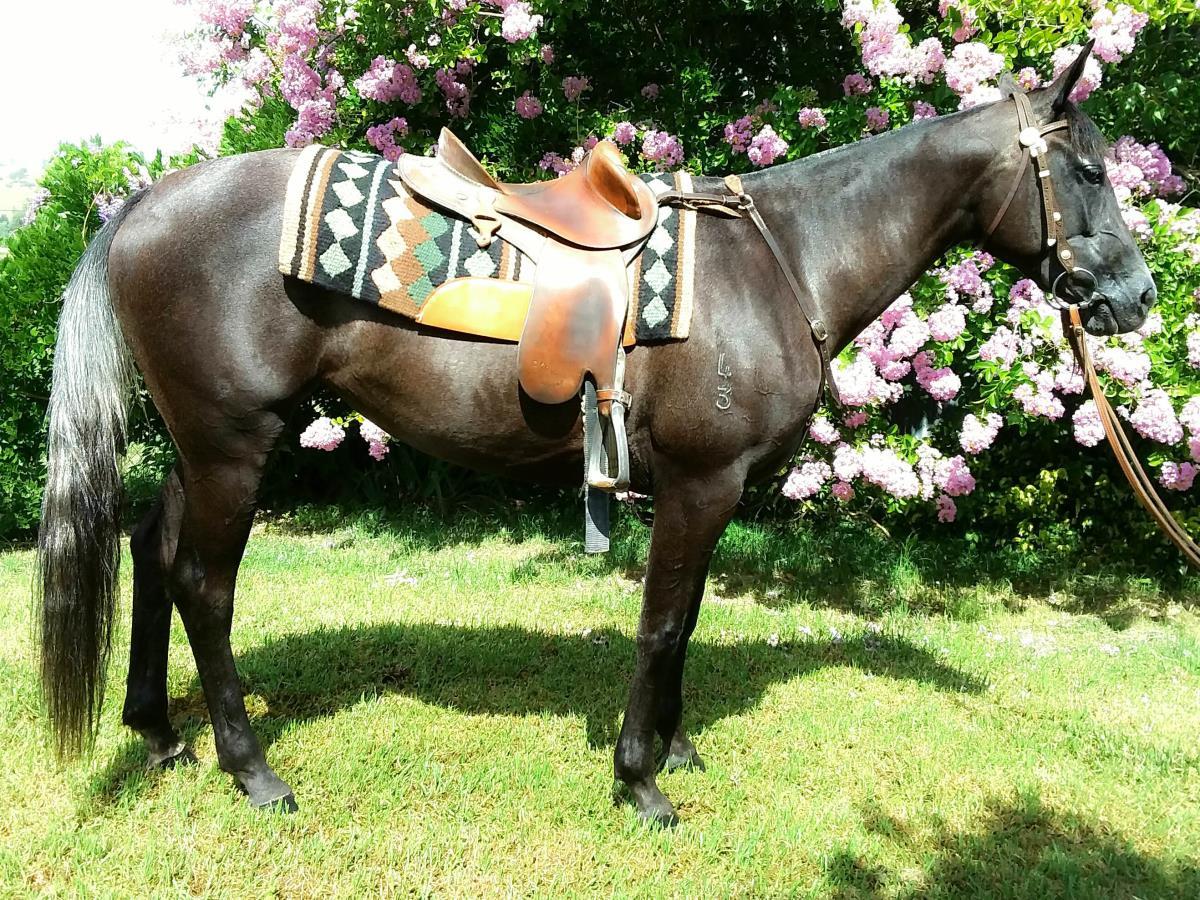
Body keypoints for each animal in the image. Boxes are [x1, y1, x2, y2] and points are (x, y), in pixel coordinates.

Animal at [37, 46, 1154, 825]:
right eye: (1088, 172)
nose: (1138, 298)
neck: (781, 260)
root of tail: (144, 202)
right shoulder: (702, 483)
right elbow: (662, 622)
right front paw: (641, 781)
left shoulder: (709, 491)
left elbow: (687, 618)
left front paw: (675, 746)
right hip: (233, 443)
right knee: (204, 584)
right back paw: (251, 769)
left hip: (205, 442)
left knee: (152, 551)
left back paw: (159, 732)